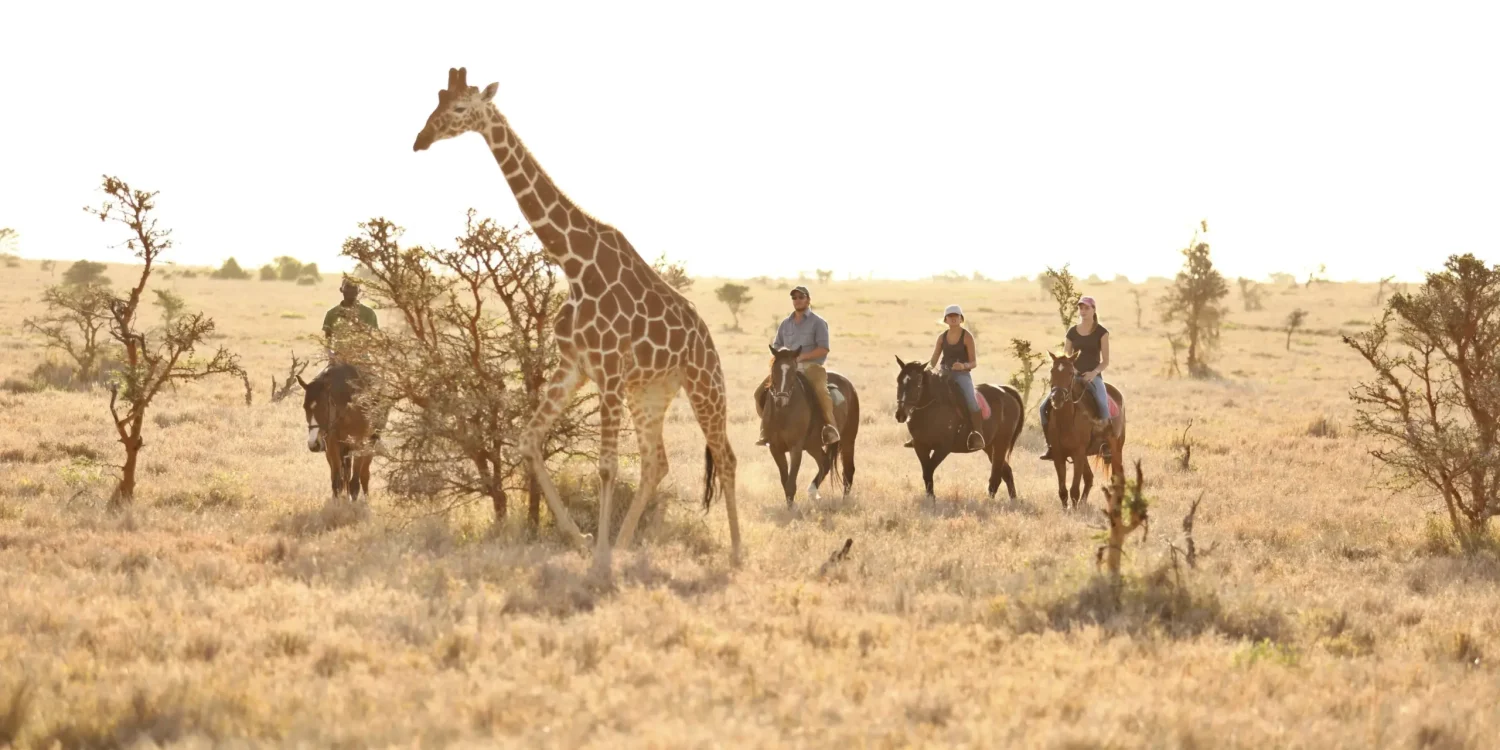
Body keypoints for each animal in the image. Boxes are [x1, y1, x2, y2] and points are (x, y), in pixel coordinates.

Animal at [412, 67, 741, 573]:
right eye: (436, 102)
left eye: (460, 108)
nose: (420, 139)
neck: (573, 263)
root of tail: (706, 337)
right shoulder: (575, 367)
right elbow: (528, 442)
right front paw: (585, 541)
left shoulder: (607, 369)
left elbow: (605, 466)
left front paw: (599, 560)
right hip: (650, 391)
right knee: (656, 462)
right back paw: (624, 544)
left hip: (704, 381)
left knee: (725, 456)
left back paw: (737, 553)